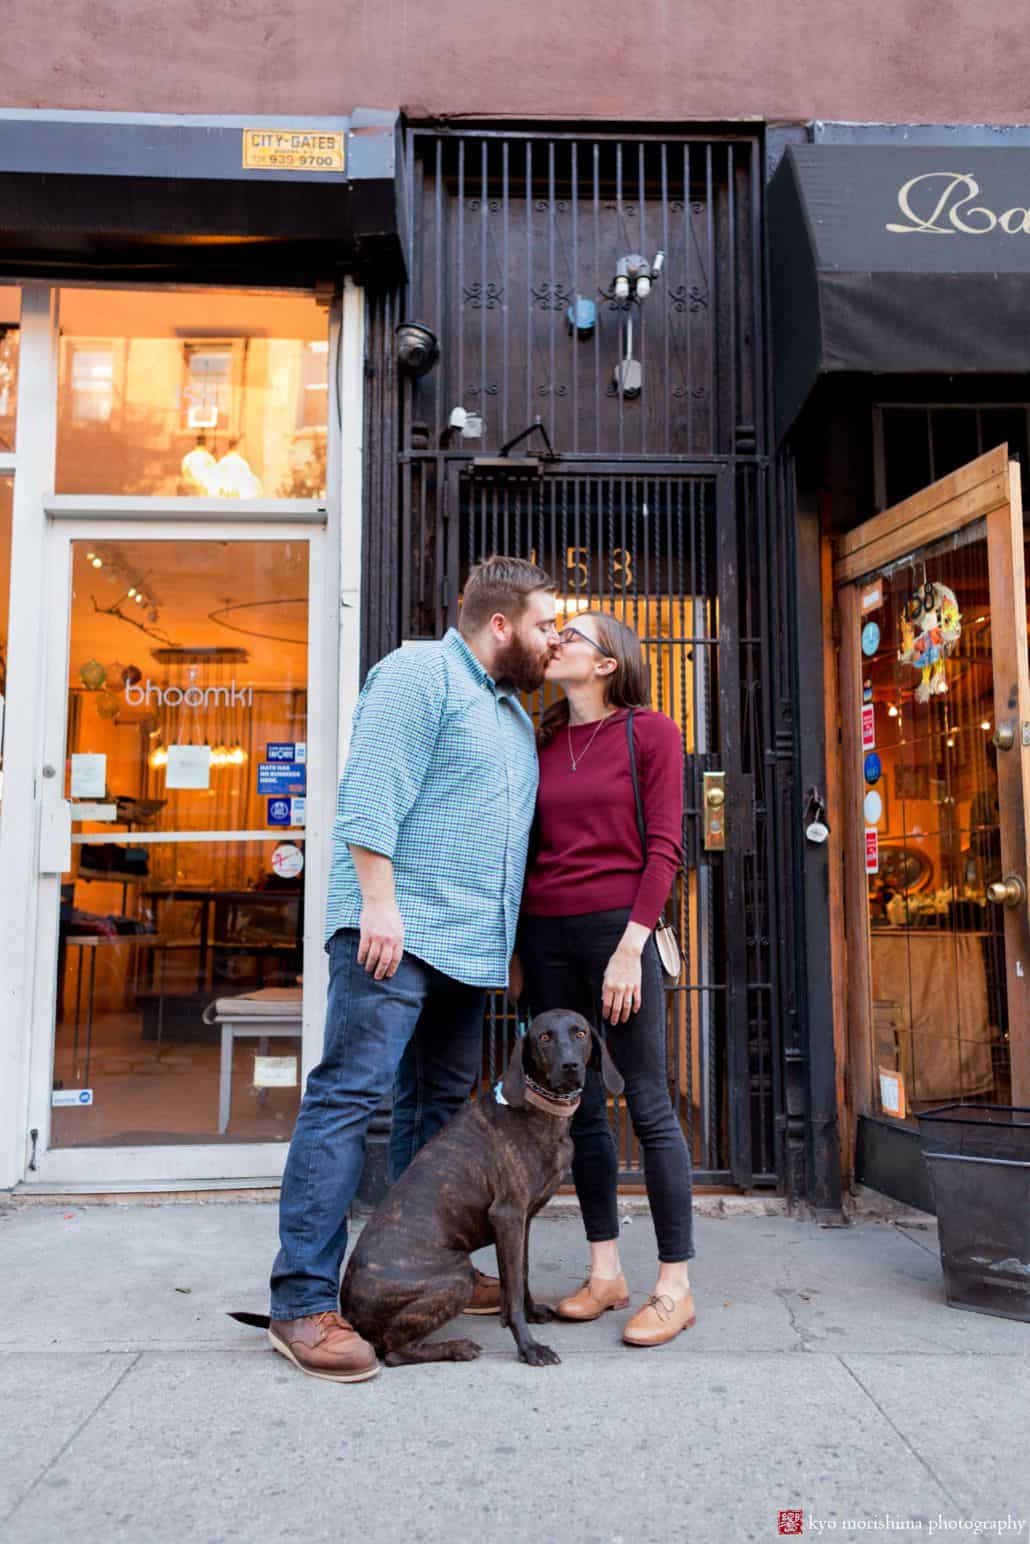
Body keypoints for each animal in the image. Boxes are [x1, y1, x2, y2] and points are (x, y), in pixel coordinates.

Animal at [342, 1012, 623, 1364]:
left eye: (580, 1033)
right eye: (544, 1038)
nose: (570, 1065)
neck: (540, 1109)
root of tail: (348, 1312)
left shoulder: (522, 1221)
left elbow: (521, 1274)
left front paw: (530, 1312)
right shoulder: (508, 1216)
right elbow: (512, 1290)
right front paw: (528, 1346)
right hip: (458, 1275)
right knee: (394, 1351)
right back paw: (455, 1347)